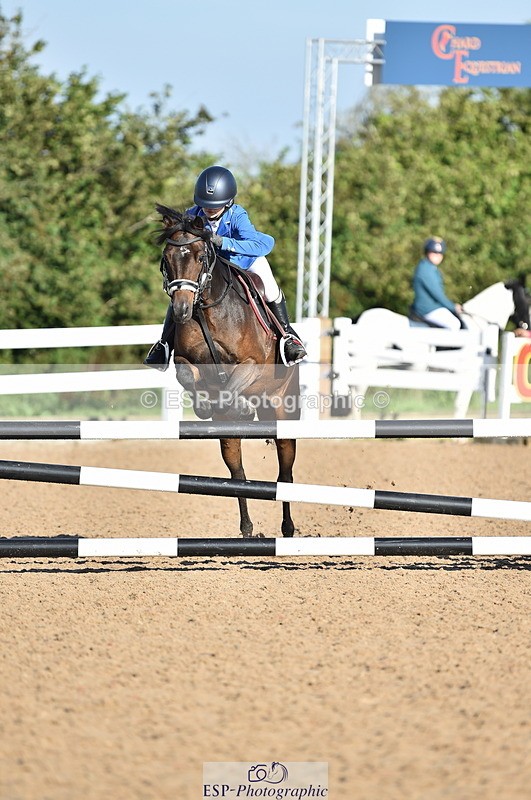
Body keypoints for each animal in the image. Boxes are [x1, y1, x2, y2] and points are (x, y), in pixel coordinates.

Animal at [154, 205, 301, 538]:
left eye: (200, 256)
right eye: (167, 258)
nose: (181, 310)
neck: (208, 309)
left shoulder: (251, 365)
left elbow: (231, 388)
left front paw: (239, 405)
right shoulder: (185, 361)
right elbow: (190, 378)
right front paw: (207, 406)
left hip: (284, 414)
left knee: (285, 475)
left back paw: (287, 528)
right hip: (230, 438)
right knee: (238, 475)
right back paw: (247, 528)